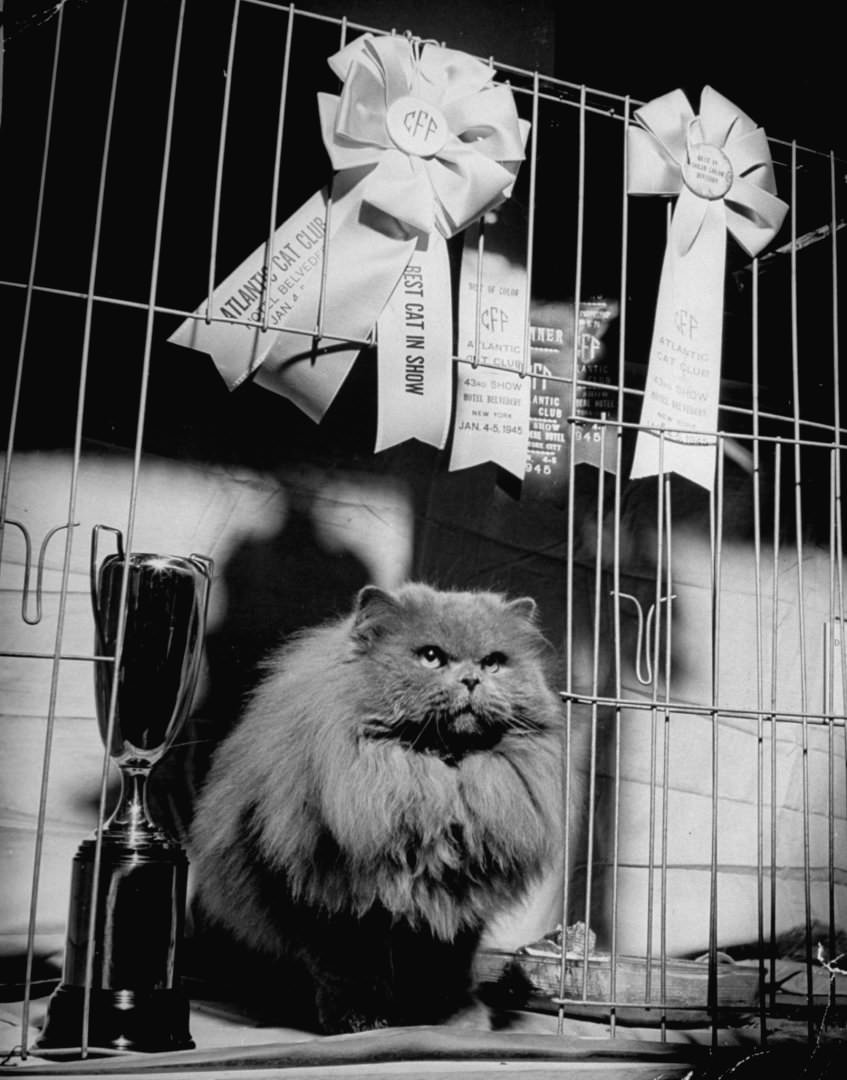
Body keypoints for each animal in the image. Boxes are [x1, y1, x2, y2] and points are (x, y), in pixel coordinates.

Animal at [191, 578, 561, 1032]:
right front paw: (362, 1022)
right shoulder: (332, 899)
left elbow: (442, 970)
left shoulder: (455, 904)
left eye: (493, 663)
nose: (472, 679)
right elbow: (349, 971)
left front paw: (451, 1019)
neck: (437, 787)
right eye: (432, 657)